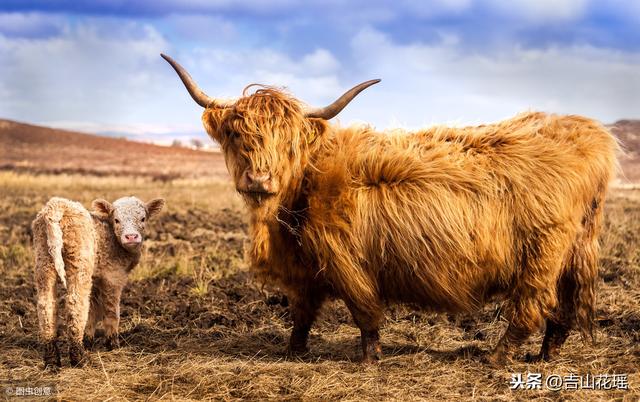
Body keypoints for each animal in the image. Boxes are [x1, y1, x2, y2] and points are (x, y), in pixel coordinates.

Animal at [32, 195, 165, 368]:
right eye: (116, 220)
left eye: (143, 219)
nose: (131, 237)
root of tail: (57, 205)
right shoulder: (113, 276)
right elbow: (111, 310)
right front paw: (112, 344)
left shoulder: (95, 278)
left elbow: (93, 310)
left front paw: (88, 340)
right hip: (79, 263)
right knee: (76, 304)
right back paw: (79, 358)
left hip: (43, 260)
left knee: (46, 305)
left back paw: (52, 360)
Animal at [162, 53, 616, 364]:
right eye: (238, 135)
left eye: (288, 143)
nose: (259, 180)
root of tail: (586, 135)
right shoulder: (306, 268)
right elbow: (302, 312)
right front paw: (294, 352)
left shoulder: (345, 260)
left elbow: (364, 312)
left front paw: (368, 359)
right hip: (573, 252)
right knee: (563, 311)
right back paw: (544, 357)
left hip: (542, 253)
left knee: (532, 306)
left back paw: (496, 357)